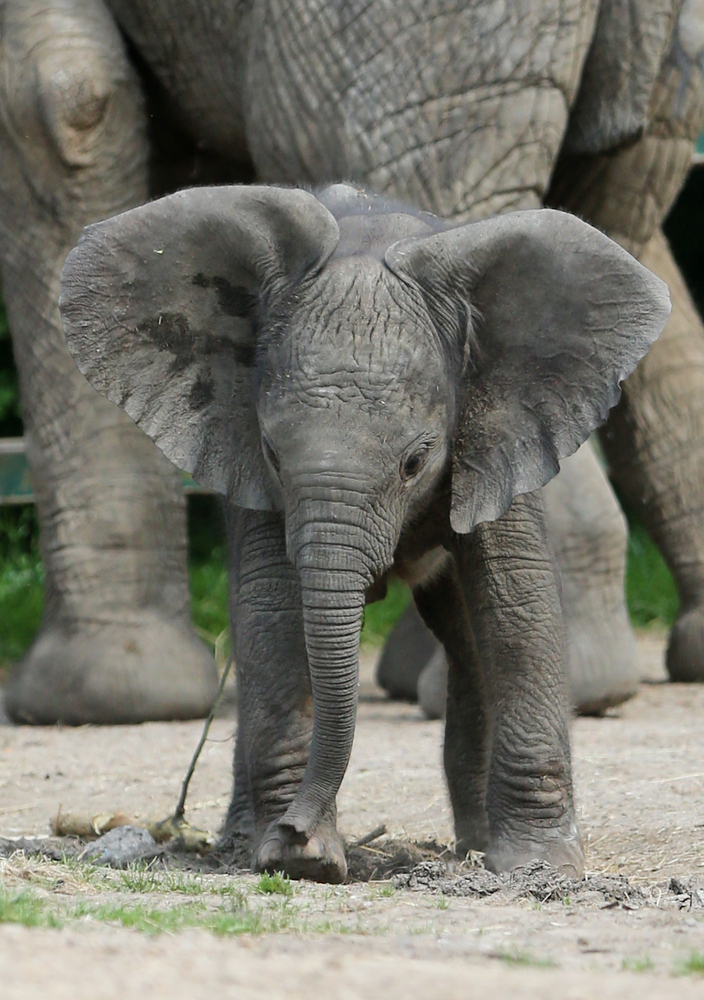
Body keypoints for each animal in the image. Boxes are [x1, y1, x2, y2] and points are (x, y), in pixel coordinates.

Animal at [59, 181, 670, 881]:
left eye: (416, 462)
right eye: (272, 453)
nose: (296, 830)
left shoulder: (501, 431)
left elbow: (518, 602)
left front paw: (537, 868)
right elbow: (271, 611)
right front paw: (296, 858)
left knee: (467, 640)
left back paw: (475, 846)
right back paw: (242, 840)